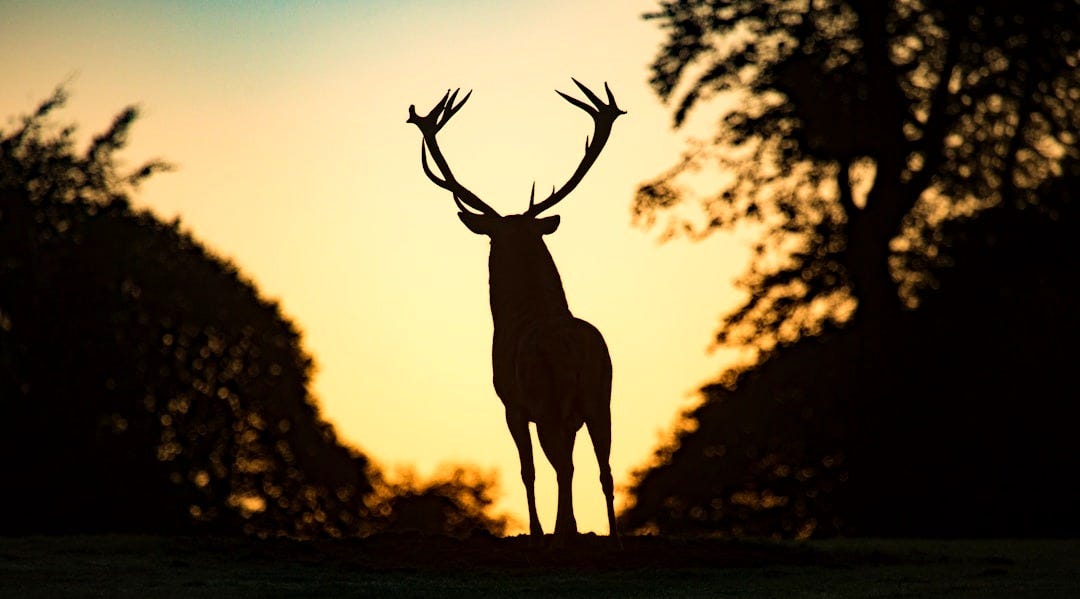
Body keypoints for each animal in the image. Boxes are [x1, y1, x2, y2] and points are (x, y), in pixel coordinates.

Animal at [407, 79, 625, 544]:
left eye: (492, 238)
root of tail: (575, 351)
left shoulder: (511, 402)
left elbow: (527, 470)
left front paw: (539, 530)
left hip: (549, 401)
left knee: (561, 466)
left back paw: (563, 530)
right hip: (603, 397)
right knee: (605, 470)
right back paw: (611, 535)